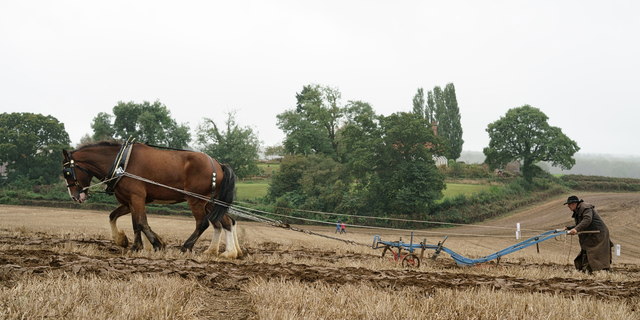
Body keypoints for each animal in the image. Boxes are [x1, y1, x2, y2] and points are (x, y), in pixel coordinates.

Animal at [61, 141, 241, 258]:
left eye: (67, 172)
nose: (75, 196)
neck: (122, 163)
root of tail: (218, 164)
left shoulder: (137, 197)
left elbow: (140, 222)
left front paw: (153, 244)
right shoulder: (129, 201)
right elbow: (123, 219)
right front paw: (128, 242)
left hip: (196, 200)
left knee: (203, 223)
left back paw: (187, 247)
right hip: (211, 203)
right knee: (225, 222)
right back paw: (226, 252)